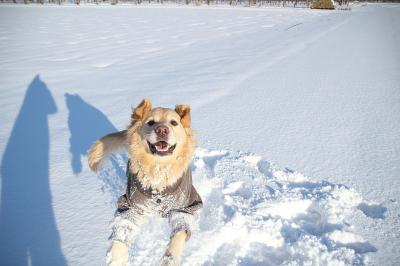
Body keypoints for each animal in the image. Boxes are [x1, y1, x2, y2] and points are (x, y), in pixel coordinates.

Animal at [86, 98, 202, 264]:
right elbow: (123, 229)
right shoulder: (130, 205)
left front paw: (169, 259)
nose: (162, 130)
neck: (159, 170)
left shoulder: (186, 206)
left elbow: (178, 235)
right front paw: (116, 258)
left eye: (174, 123)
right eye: (151, 122)